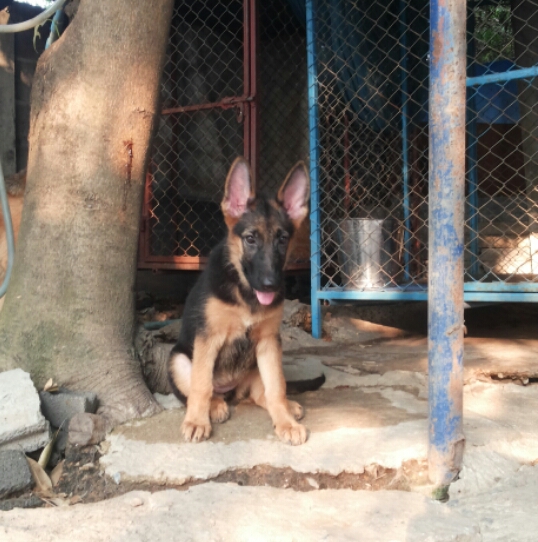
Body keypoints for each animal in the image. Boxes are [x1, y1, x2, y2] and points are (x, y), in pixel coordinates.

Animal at [168, 157, 310, 445]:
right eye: (250, 239)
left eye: (283, 239)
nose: (270, 284)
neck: (245, 295)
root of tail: (232, 391)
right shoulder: (207, 338)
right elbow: (201, 385)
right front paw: (197, 421)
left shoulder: (269, 342)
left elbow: (277, 387)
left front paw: (285, 423)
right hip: (178, 360)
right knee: (204, 390)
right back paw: (213, 407)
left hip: (257, 365)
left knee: (263, 394)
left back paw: (288, 408)